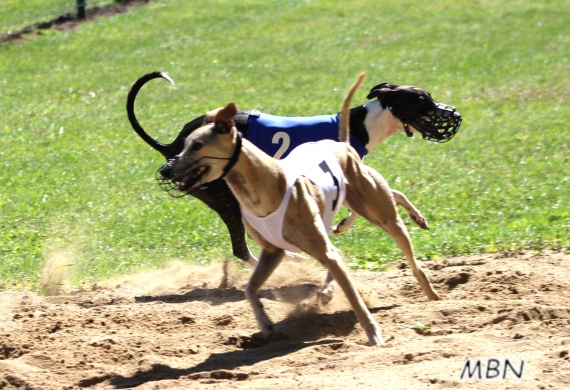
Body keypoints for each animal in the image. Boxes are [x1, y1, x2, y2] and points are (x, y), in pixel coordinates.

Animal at [126, 71, 460, 266]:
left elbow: (389, 194)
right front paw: (346, 225)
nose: (454, 115)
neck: (362, 124)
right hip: (226, 199)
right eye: (422, 100)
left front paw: (415, 218)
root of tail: (173, 147)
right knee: (241, 249)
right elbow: (387, 194)